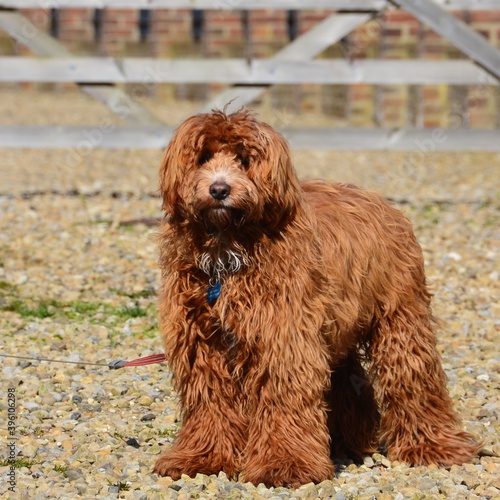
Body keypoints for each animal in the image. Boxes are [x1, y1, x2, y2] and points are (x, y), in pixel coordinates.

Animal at [153, 109, 480, 488]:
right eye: (203, 157)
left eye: (244, 160)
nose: (219, 189)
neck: (227, 251)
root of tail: (384, 204)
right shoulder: (202, 342)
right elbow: (210, 401)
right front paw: (201, 458)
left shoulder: (283, 335)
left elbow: (283, 395)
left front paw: (285, 464)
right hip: (339, 323)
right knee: (348, 378)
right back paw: (351, 439)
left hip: (400, 316)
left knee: (412, 376)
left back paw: (433, 445)